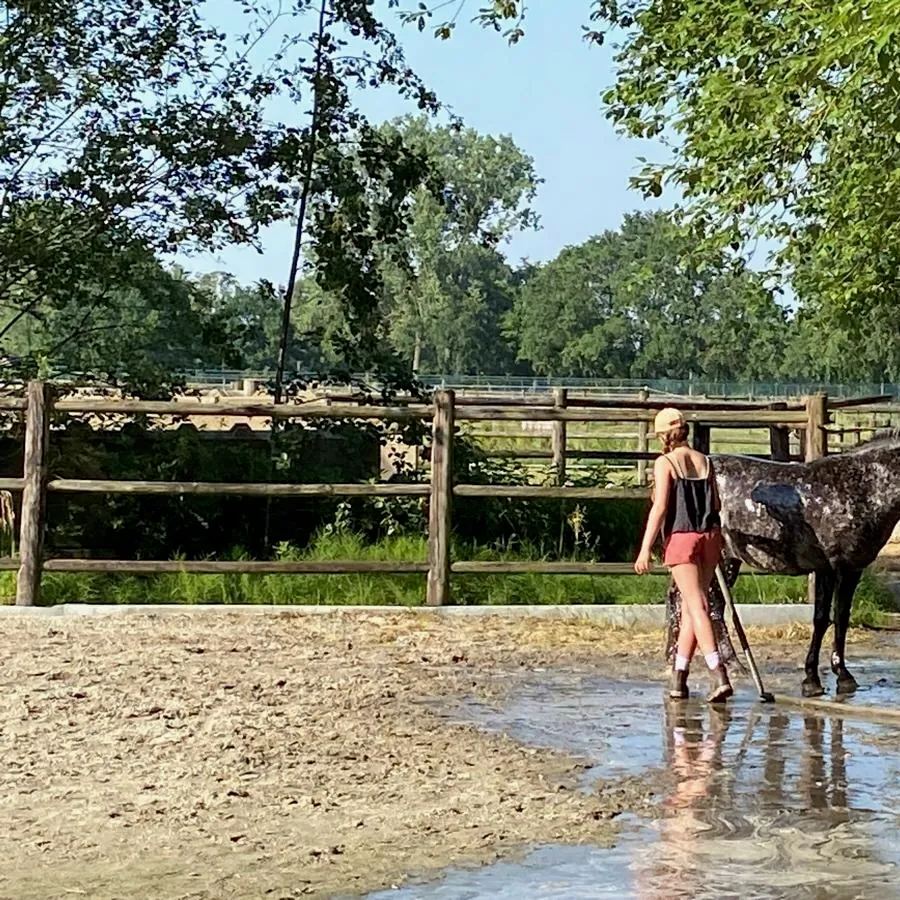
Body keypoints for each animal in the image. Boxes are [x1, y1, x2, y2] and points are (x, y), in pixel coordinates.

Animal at [665, 430, 900, 698]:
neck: (858, 486)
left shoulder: (852, 569)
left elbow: (841, 617)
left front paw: (843, 675)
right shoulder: (828, 568)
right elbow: (821, 619)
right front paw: (812, 679)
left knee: (699, 603)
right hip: (718, 559)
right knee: (702, 604)